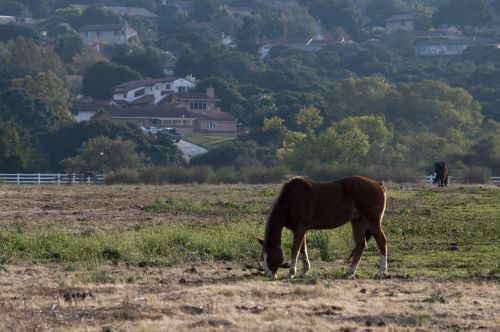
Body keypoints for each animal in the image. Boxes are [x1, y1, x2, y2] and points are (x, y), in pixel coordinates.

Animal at [258, 175, 386, 278]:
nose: (269, 275)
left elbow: (295, 250)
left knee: (381, 241)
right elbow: (303, 250)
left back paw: (382, 272)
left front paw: (291, 272)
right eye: (262, 256)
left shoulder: (300, 229)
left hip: (373, 222)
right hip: (357, 222)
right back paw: (350, 272)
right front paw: (305, 271)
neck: (291, 199)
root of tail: (378, 184)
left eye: (270, 255)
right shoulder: (300, 230)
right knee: (361, 245)